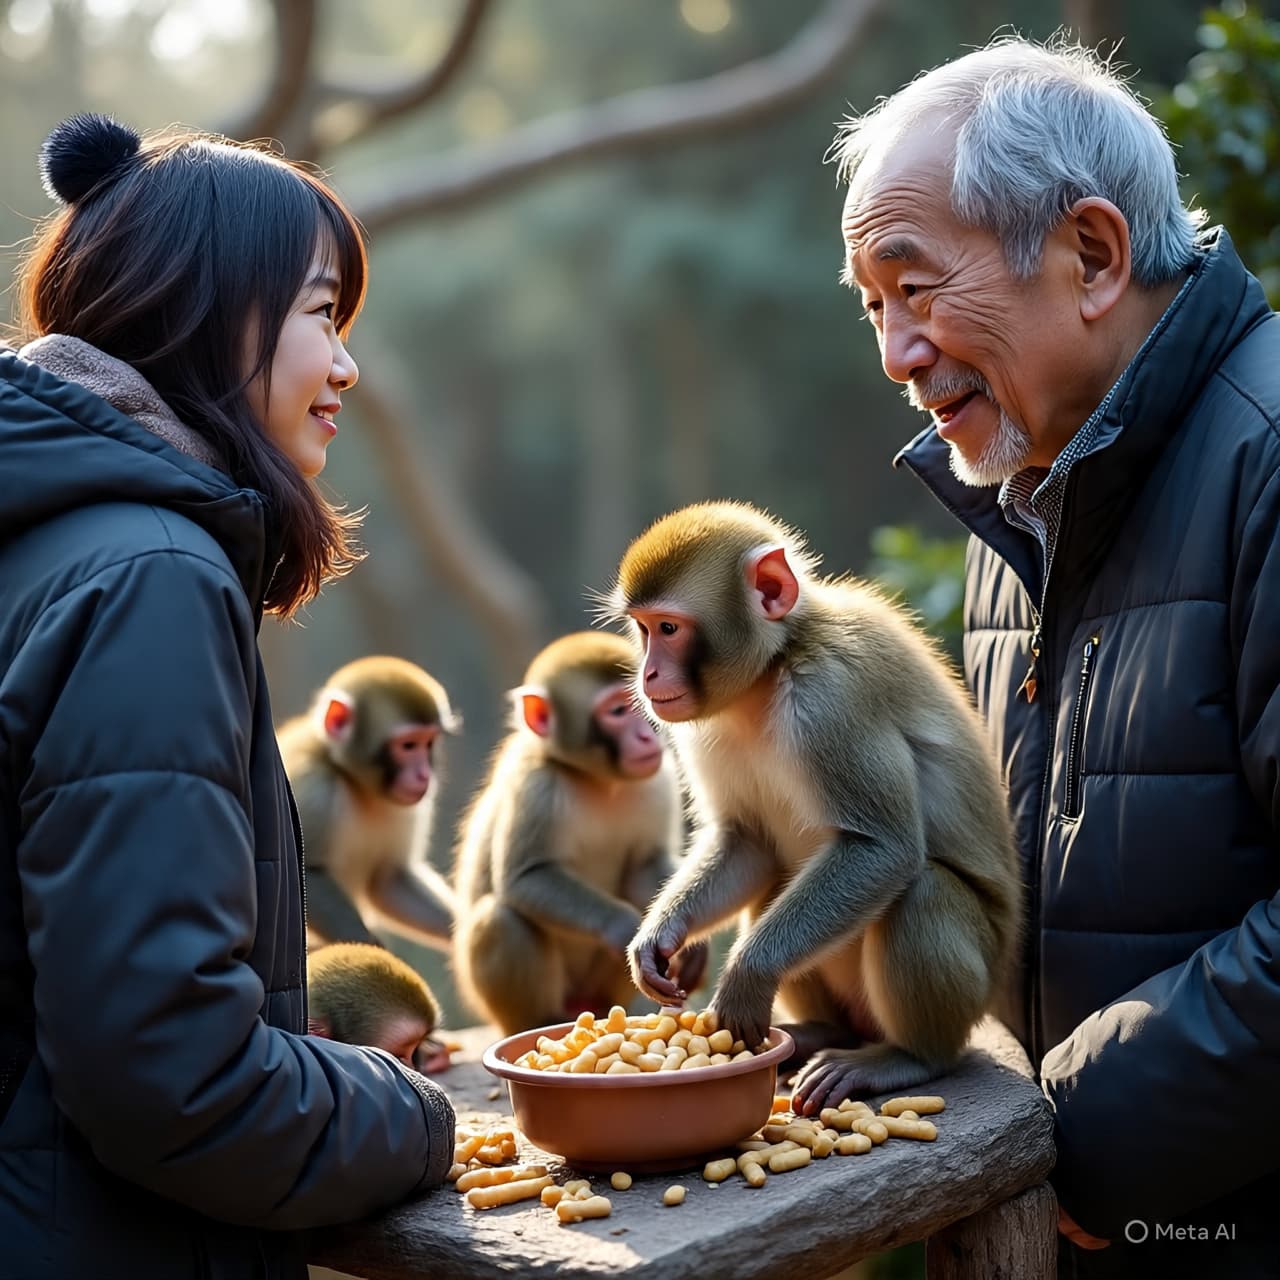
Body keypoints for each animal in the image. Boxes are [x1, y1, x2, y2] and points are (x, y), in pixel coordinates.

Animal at [277, 656, 460, 951]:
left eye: (428, 742)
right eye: (408, 745)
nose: (424, 775)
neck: (355, 783)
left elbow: (390, 881)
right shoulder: (314, 788)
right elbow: (305, 874)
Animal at [452, 631, 702, 1035]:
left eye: (638, 703)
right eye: (617, 712)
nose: (647, 737)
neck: (597, 779)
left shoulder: (658, 782)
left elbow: (644, 865)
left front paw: (688, 946)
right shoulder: (536, 787)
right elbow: (527, 877)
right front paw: (626, 927)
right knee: (501, 919)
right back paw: (542, 1021)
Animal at [606, 501, 1021, 1113]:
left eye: (669, 628)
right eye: (643, 628)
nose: (648, 674)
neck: (770, 671)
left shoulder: (831, 697)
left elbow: (881, 848)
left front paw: (747, 975)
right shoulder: (703, 732)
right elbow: (745, 840)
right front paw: (659, 936)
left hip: (978, 984)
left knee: (921, 891)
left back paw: (910, 1057)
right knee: (777, 876)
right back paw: (822, 1032)